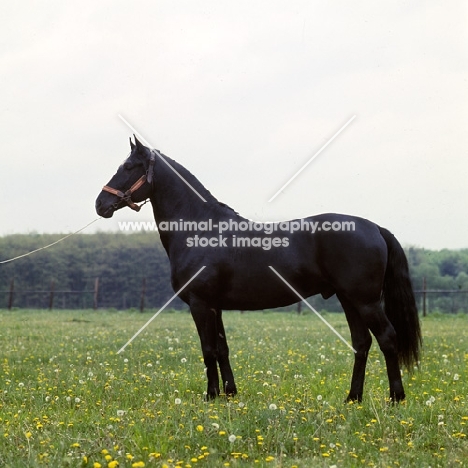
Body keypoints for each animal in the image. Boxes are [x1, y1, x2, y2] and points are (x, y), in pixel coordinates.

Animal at [95, 135, 420, 402]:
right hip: (348, 299)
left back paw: (395, 397)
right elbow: (222, 349)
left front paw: (210, 396)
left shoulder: (200, 304)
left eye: (128, 166)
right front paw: (229, 393)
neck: (201, 229)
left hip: (365, 301)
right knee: (361, 343)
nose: (100, 204)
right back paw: (353, 398)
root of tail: (374, 227)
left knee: (387, 338)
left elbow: (208, 350)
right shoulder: (215, 306)